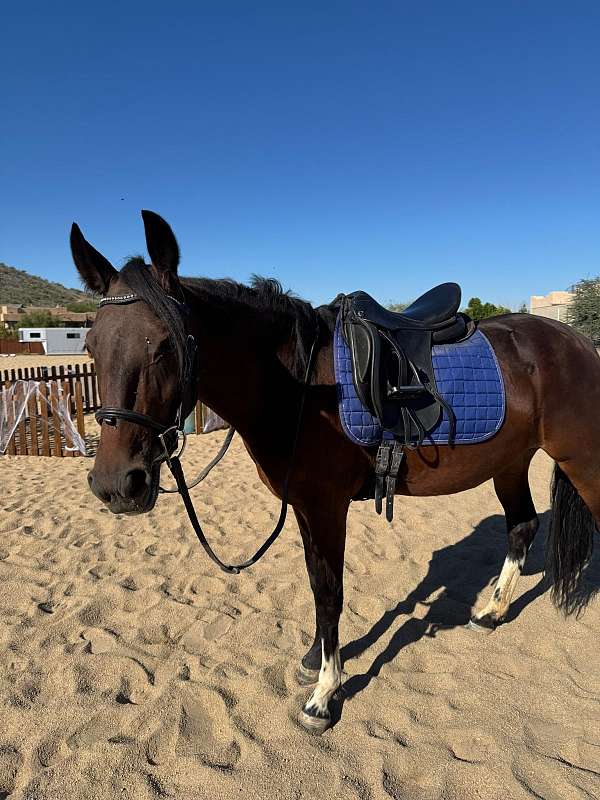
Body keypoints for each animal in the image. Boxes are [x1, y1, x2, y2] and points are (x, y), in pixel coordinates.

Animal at [70, 210, 599, 734]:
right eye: (91, 345)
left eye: (164, 345)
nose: (117, 484)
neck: (297, 386)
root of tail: (576, 340)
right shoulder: (305, 507)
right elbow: (316, 582)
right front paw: (315, 660)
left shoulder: (327, 508)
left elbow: (330, 592)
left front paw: (325, 695)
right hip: (510, 462)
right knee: (522, 526)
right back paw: (491, 611)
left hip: (582, 461)